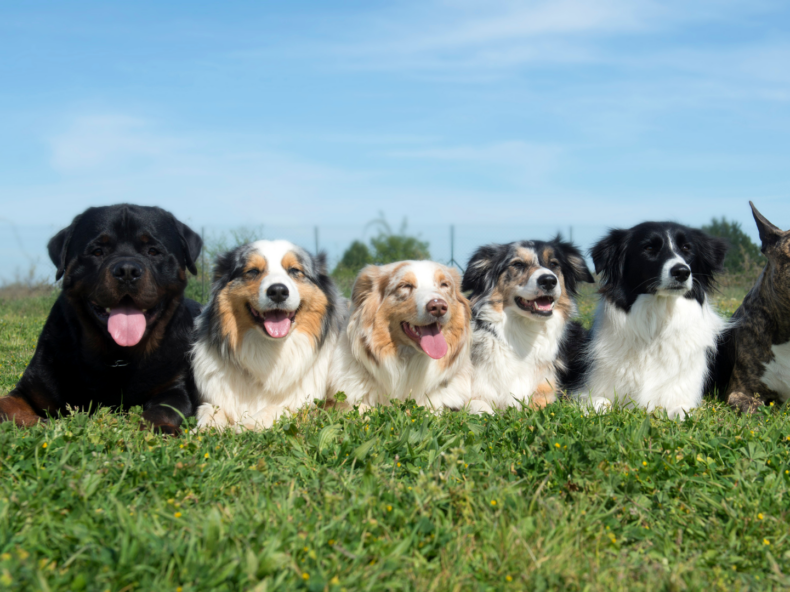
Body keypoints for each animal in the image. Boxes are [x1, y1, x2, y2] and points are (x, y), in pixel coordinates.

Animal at [0, 206, 204, 432]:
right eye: (97, 251)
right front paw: (40, 424)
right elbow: (7, 404)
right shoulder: (32, 387)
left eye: (153, 251)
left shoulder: (174, 388)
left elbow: (163, 409)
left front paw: (161, 427)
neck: (118, 357)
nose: (127, 270)